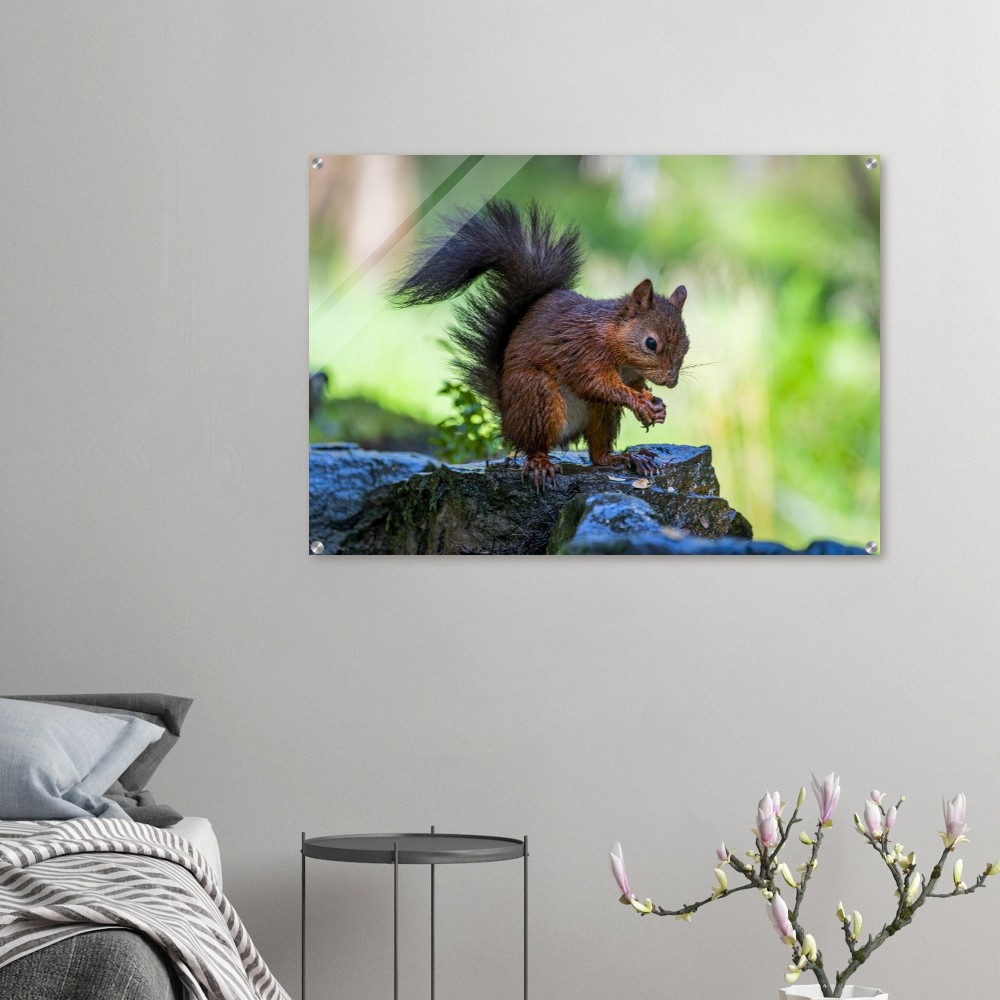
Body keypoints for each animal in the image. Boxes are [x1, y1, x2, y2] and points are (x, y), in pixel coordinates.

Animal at [392, 199, 689, 489]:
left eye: (686, 345)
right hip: (537, 396)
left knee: (598, 453)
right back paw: (541, 463)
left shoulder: (629, 374)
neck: (616, 346)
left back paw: (626, 458)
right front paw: (640, 403)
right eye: (651, 343)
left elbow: (634, 386)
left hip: (601, 413)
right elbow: (596, 384)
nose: (671, 381)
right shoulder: (583, 351)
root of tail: (508, 420)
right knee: (535, 444)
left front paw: (655, 405)